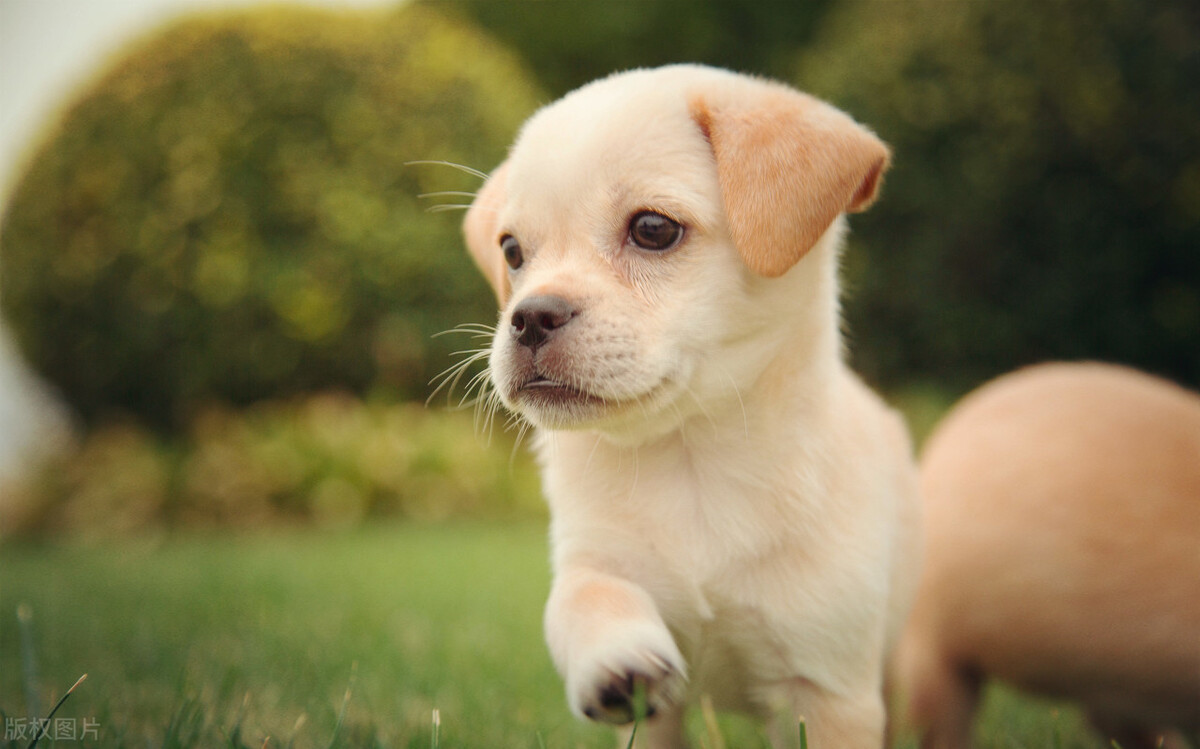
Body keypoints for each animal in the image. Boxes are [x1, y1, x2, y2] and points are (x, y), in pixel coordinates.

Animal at [458, 65, 916, 749]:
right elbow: (582, 597)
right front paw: (614, 657)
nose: (529, 316)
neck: (689, 456)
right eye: (512, 252)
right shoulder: (594, 560)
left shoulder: (827, 694)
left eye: (653, 230)